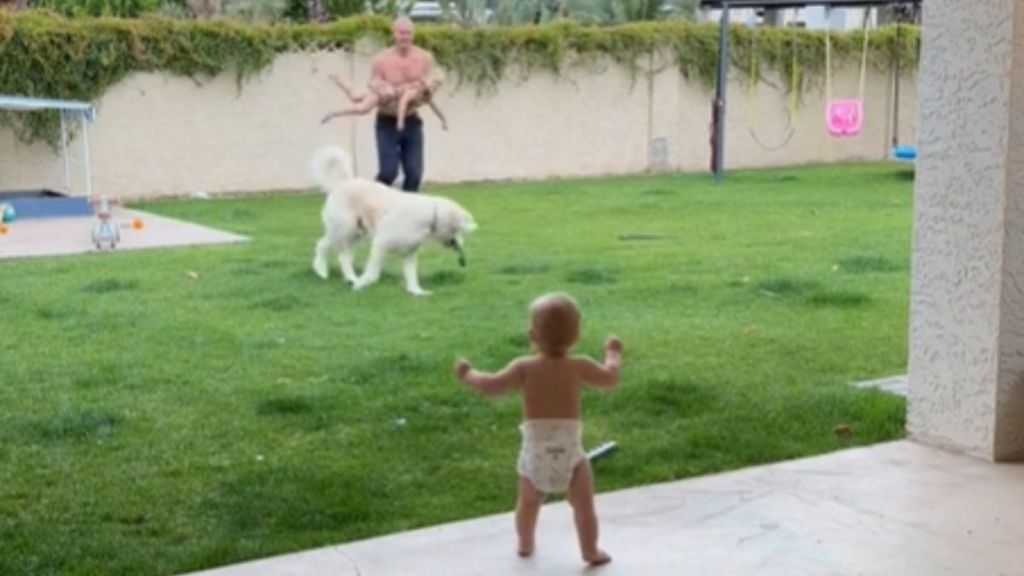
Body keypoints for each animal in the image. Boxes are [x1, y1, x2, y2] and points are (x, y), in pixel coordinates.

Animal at [309, 145, 477, 295]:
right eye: (458, 230)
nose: (461, 250)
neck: (429, 215)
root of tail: (342, 183)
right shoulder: (380, 245)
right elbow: (373, 273)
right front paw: (361, 285)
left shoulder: (409, 254)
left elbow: (412, 276)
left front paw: (417, 292)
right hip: (344, 229)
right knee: (322, 245)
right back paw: (322, 270)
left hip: (356, 233)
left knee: (343, 256)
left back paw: (350, 278)